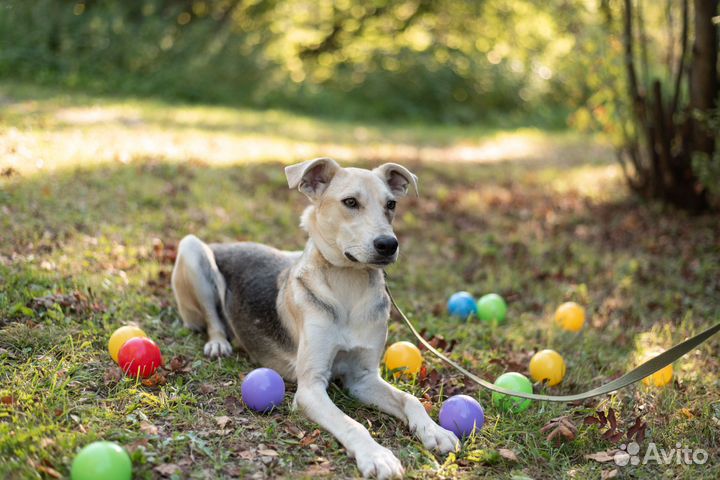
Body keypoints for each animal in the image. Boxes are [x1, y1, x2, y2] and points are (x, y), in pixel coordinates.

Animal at [172, 159, 458, 478]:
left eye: (391, 204)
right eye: (350, 202)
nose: (388, 244)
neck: (348, 286)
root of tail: (223, 244)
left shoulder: (363, 378)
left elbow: (411, 399)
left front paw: (434, 431)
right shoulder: (310, 388)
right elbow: (352, 424)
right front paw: (377, 456)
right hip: (192, 249)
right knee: (212, 317)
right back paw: (218, 343)